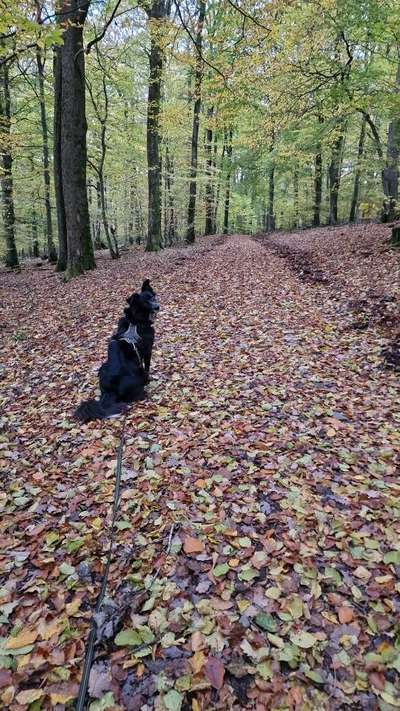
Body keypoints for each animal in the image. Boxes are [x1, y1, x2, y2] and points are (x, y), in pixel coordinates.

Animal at [74, 280, 159, 422]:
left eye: (152, 297)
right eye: (145, 302)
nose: (157, 306)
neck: (135, 321)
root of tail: (110, 390)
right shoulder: (148, 350)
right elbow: (147, 366)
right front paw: (150, 379)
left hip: (103, 366)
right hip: (137, 375)